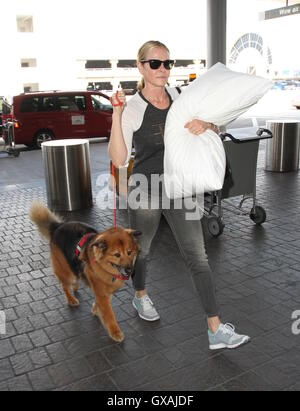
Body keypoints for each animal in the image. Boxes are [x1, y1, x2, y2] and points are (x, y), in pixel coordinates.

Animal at [29, 201, 141, 342]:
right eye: (117, 255)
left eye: (129, 252)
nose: (130, 270)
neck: (103, 265)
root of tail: (57, 226)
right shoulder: (102, 294)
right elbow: (109, 314)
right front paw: (115, 332)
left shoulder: (104, 292)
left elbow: (99, 303)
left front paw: (95, 309)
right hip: (66, 271)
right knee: (64, 285)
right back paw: (71, 299)